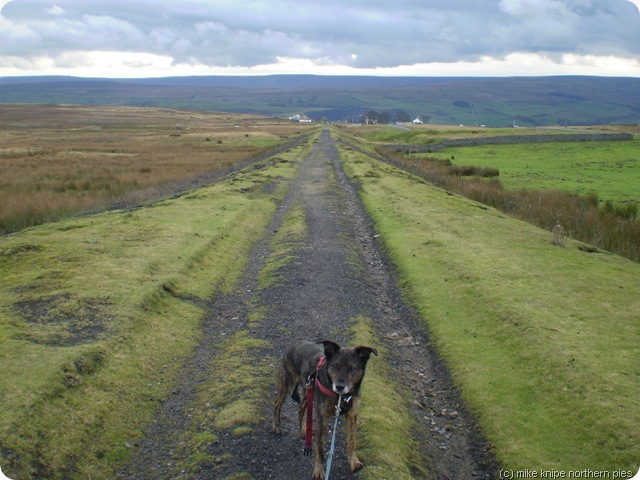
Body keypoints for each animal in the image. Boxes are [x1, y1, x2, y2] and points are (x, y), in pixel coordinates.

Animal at [272, 340, 378, 478]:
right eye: (335, 366)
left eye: (352, 368)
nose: (339, 386)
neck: (340, 396)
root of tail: (293, 346)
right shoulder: (322, 418)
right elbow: (319, 448)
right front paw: (318, 471)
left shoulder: (352, 414)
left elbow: (352, 440)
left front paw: (354, 462)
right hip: (287, 385)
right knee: (277, 404)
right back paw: (276, 427)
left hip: (308, 391)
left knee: (301, 407)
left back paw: (304, 430)